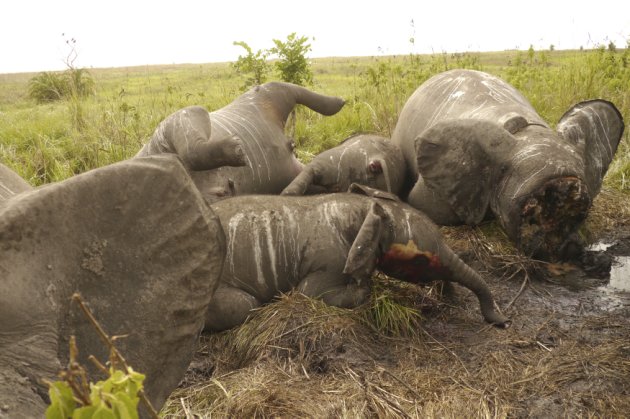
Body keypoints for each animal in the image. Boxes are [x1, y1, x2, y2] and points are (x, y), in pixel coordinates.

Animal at [137, 82, 346, 203]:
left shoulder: (182, 118)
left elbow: (193, 150)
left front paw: (236, 150)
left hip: (267, 93)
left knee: (293, 89)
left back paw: (339, 101)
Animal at [205, 185, 512, 334]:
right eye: (422, 262)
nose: (504, 322)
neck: (360, 207)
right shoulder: (328, 260)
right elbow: (309, 292)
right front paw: (364, 285)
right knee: (244, 306)